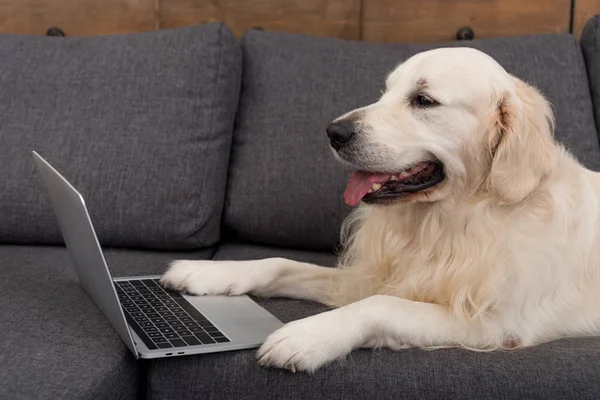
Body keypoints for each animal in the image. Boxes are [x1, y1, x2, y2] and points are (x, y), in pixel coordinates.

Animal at [162, 48, 600, 374]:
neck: (446, 222)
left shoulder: (495, 322)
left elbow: (382, 304)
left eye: (423, 100)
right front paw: (207, 273)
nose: (333, 132)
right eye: (385, 91)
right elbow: (280, 263)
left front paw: (306, 336)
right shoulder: (366, 276)